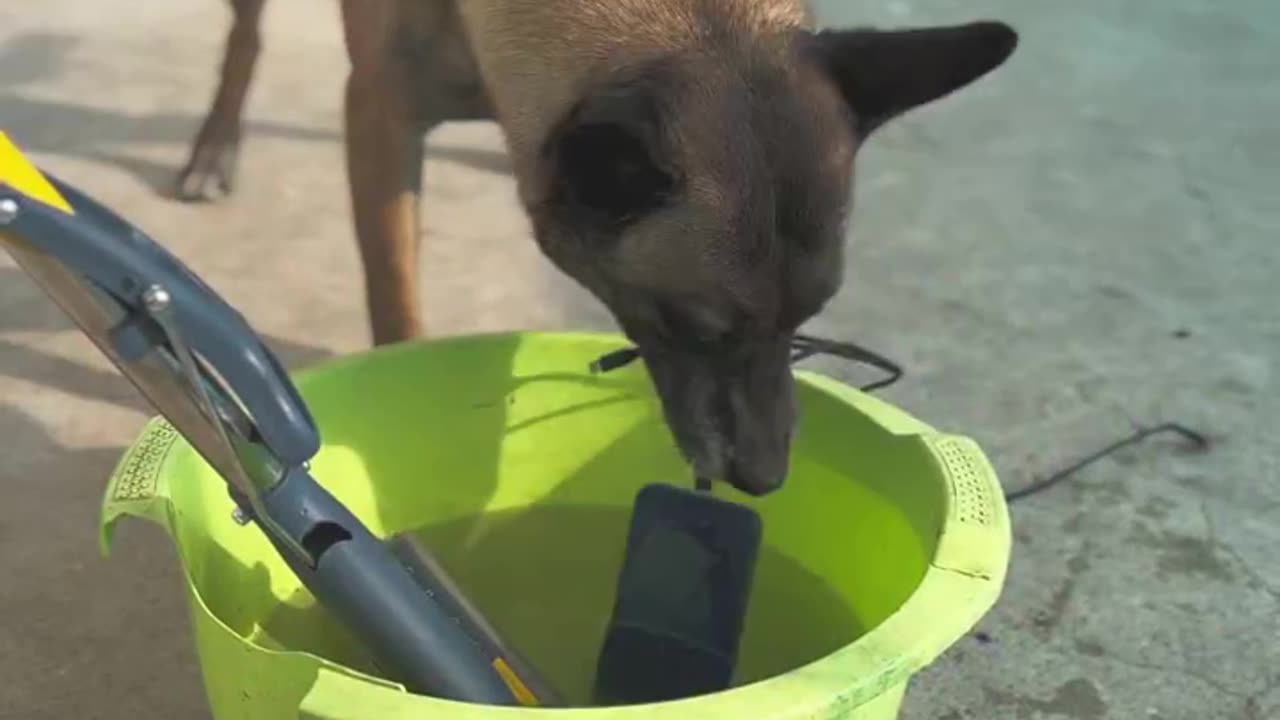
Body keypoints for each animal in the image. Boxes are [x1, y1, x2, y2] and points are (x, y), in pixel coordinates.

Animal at [177, 0, 1018, 491]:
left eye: (808, 321)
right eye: (700, 329)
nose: (766, 480)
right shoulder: (382, 112)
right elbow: (395, 298)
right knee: (245, 34)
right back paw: (214, 146)